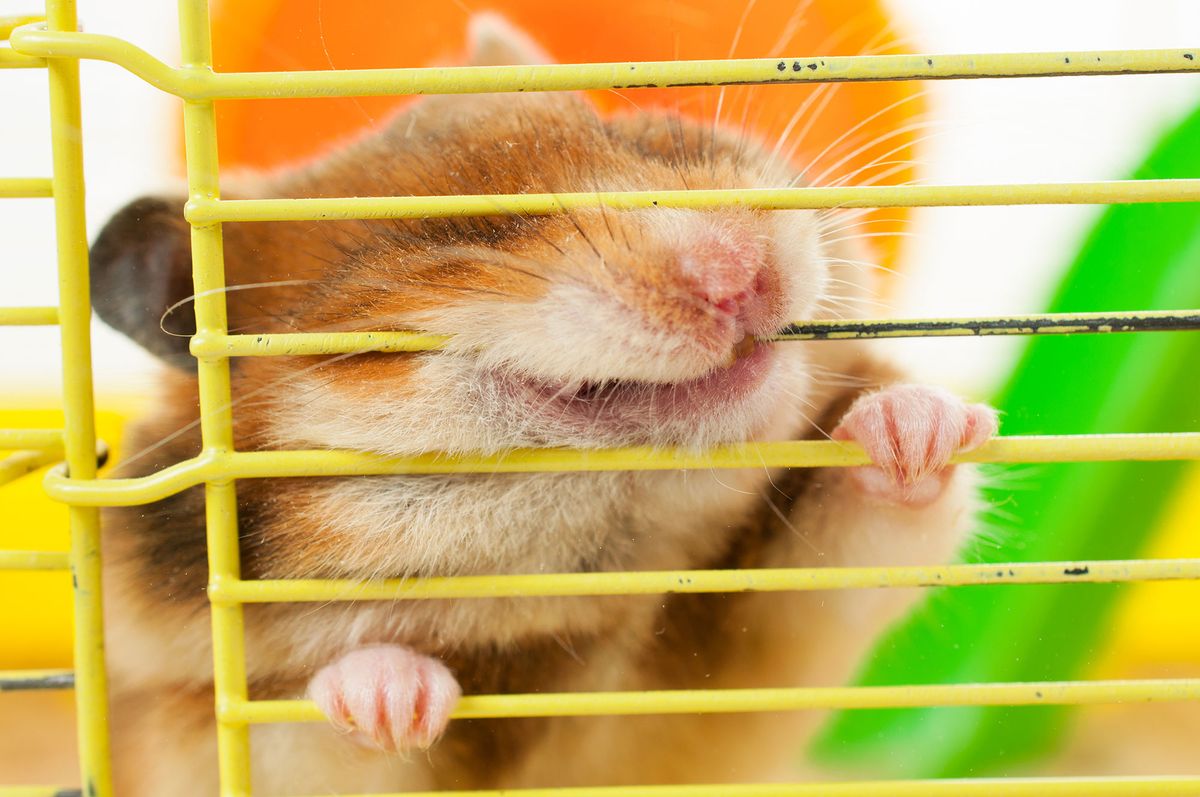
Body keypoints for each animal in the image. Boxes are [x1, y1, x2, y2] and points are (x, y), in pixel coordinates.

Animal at [88, 15, 995, 796]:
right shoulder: (211, 730)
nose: (740, 275)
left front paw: (920, 424)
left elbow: (858, 535)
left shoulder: (766, 634)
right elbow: (317, 727)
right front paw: (391, 693)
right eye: (459, 234)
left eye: (634, 134)